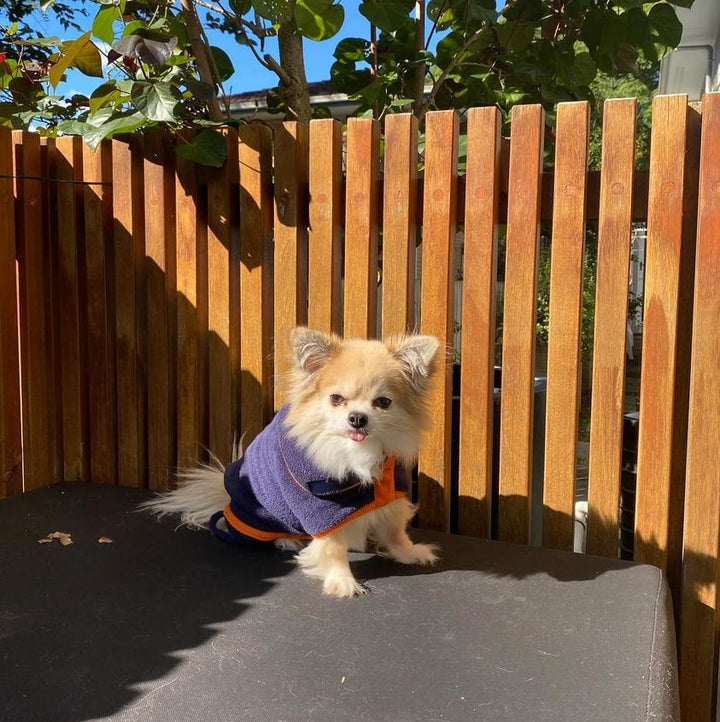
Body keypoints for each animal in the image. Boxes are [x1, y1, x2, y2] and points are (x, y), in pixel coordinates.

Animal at [142, 326, 438, 596]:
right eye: (336, 399)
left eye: (383, 402)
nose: (357, 417)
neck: (355, 453)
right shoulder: (321, 508)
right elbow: (332, 547)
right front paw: (342, 581)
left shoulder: (391, 492)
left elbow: (394, 530)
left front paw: (410, 552)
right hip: (264, 513)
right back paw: (286, 540)